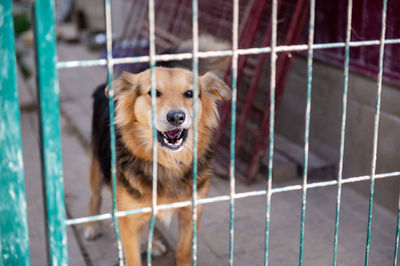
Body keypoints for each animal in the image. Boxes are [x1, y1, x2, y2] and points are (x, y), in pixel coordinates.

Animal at [84, 35, 231, 266]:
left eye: (189, 93)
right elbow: (133, 258)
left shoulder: (191, 211)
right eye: (153, 93)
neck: (168, 162)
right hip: (98, 164)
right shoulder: (128, 220)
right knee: (95, 194)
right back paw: (91, 226)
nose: (176, 117)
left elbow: (183, 252)